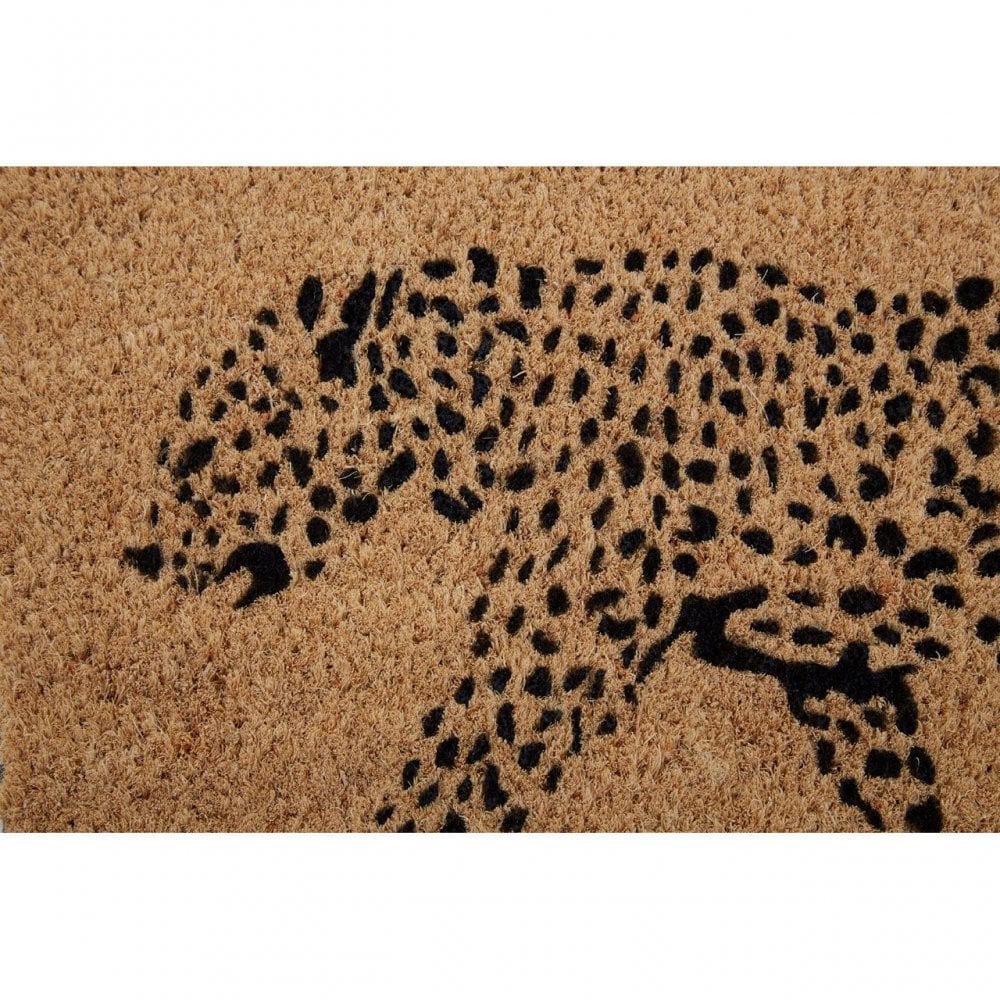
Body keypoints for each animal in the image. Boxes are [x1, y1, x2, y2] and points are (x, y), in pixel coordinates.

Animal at [123, 244, 1000, 831]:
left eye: (193, 457)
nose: (136, 558)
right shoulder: (840, 677)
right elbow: (898, 779)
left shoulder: (555, 649)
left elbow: (456, 787)